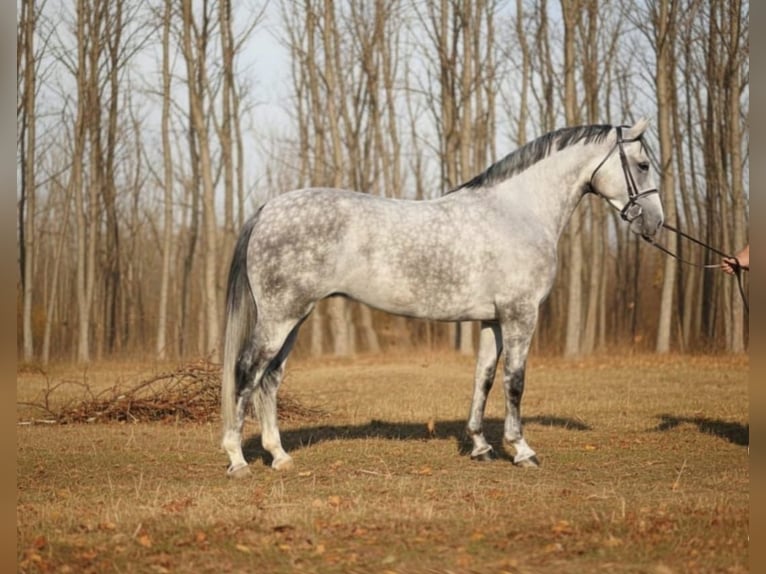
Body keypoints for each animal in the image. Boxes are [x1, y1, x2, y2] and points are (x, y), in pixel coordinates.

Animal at [220, 119, 663, 478]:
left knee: (270, 379)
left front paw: (481, 447)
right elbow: (514, 381)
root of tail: (267, 210)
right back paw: (238, 459)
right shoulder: (520, 315)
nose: (655, 223)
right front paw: (522, 450)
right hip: (279, 317)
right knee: (246, 372)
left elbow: (483, 378)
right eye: (643, 164)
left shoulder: (492, 320)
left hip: (295, 317)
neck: (518, 211)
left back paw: (279, 456)